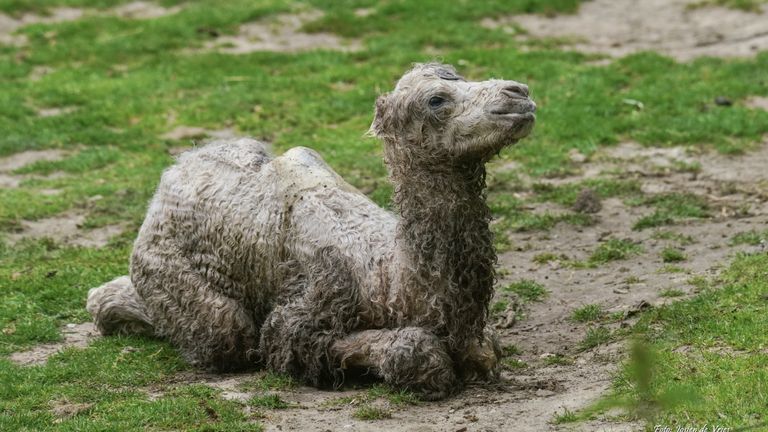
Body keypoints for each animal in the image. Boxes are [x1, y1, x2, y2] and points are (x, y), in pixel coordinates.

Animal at [87, 62, 536, 400]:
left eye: (458, 75)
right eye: (436, 100)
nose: (519, 93)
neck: (390, 277)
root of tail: (173, 173)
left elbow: (487, 350)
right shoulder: (312, 300)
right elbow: (407, 352)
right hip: (163, 262)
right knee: (222, 331)